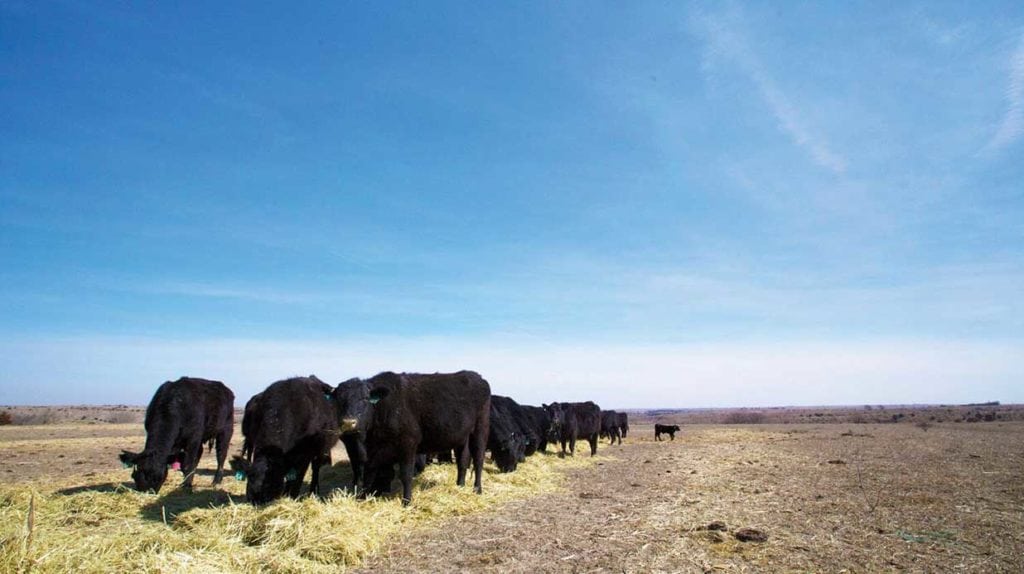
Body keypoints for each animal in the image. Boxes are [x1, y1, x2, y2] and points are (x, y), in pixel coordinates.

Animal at [329, 368, 485, 503]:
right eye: (338, 400)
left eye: (365, 399)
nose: (348, 422)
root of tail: (475, 376)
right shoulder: (373, 449)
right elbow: (371, 472)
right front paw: (363, 497)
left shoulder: (408, 443)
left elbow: (406, 475)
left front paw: (406, 501)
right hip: (462, 437)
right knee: (463, 460)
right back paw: (460, 486)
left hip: (480, 429)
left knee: (478, 459)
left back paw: (477, 489)